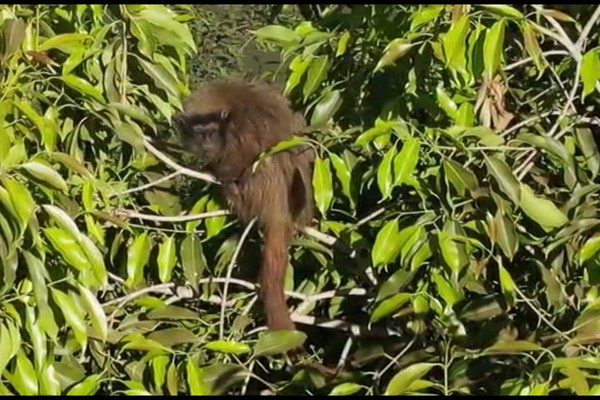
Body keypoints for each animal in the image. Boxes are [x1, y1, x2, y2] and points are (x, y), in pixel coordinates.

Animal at [173, 78, 314, 332]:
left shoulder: (238, 126)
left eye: (211, 133)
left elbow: (245, 155)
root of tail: (278, 209)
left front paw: (217, 171)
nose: (207, 145)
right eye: (199, 134)